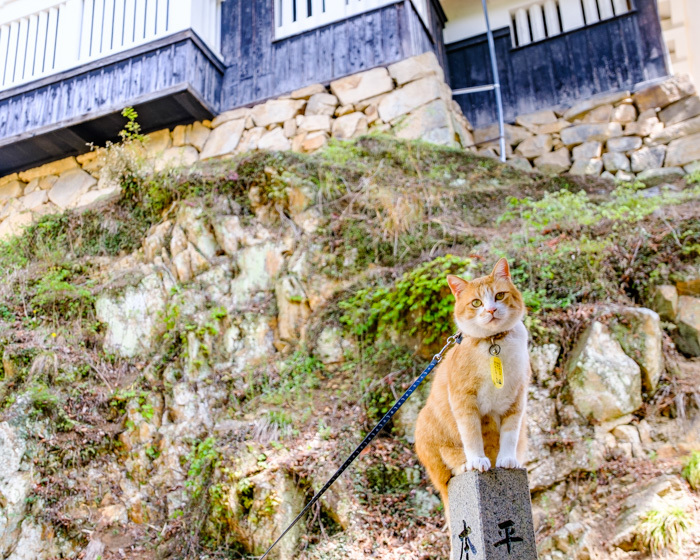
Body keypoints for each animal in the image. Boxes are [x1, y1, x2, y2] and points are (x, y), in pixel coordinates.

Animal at [410, 258, 532, 520]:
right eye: (476, 302)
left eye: (499, 296)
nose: (491, 310)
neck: (494, 345)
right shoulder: (464, 400)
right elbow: (472, 434)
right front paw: (477, 460)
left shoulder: (517, 398)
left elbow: (510, 433)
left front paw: (507, 459)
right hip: (427, 431)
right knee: (448, 474)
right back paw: (465, 465)